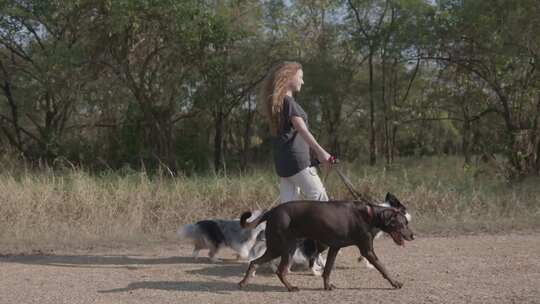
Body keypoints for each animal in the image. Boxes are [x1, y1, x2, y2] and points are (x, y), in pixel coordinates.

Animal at [237, 200, 414, 292]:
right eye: (402, 224)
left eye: (406, 222)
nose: (413, 236)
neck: (370, 215)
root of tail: (271, 212)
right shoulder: (367, 250)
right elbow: (383, 268)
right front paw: (395, 283)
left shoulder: (334, 248)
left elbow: (327, 270)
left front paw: (327, 285)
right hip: (285, 247)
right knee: (280, 270)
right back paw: (291, 287)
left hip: (277, 247)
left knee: (254, 262)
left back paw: (243, 283)